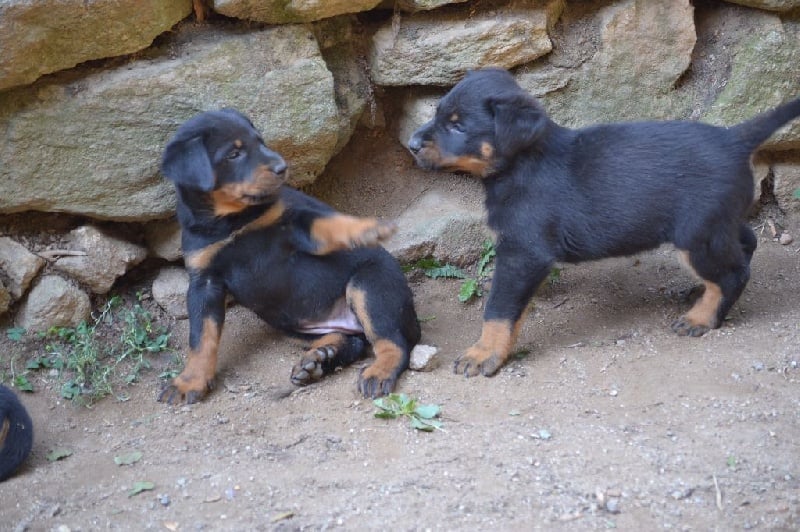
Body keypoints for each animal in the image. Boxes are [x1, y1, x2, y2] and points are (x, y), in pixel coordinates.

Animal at [156, 109, 418, 404]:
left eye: (260, 141)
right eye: (233, 154)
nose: (282, 167)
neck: (231, 220)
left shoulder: (293, 221)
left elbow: (327, 224)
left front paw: (366, 228)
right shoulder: (204, 281)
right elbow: (201, 337)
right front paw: (189, 381)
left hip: (370, 286)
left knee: (393, 342)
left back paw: (377, 372)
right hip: (294, 325)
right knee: (354, 340)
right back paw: (318, 360)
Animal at [410, 67, 800, 378]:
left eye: (458, 126)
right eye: (438, 114)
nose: (412, 143)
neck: (520, 165)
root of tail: (734, 139)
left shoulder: (523, 253)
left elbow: (498, 310)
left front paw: (483, 353)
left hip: (696, 235)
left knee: (734, 273)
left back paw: (701, 317)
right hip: (717, 223)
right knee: (745, 243)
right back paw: (700, 292)